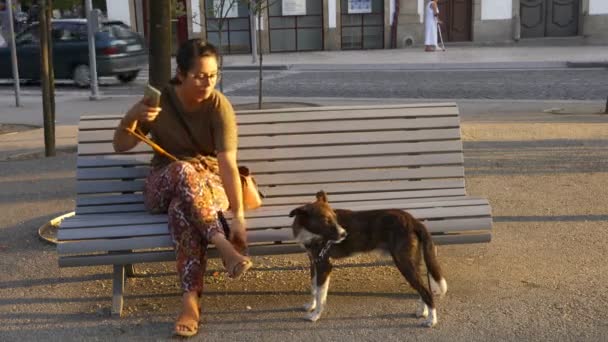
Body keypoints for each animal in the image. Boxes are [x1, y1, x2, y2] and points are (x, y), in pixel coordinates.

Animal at [288, 191, 448, 328]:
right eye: (325, 220)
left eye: (334, 217)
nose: (344, 234)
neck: (310, 232)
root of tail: (413, 220)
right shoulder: (314, 262)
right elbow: (314, 288)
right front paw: (311, 306)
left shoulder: (325, 265)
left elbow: (321, 294)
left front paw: (315, 315)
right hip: (413, 262)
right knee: (422, 289)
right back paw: (423, 312)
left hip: (404, 263)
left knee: (426, 291)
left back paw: (432, 320)